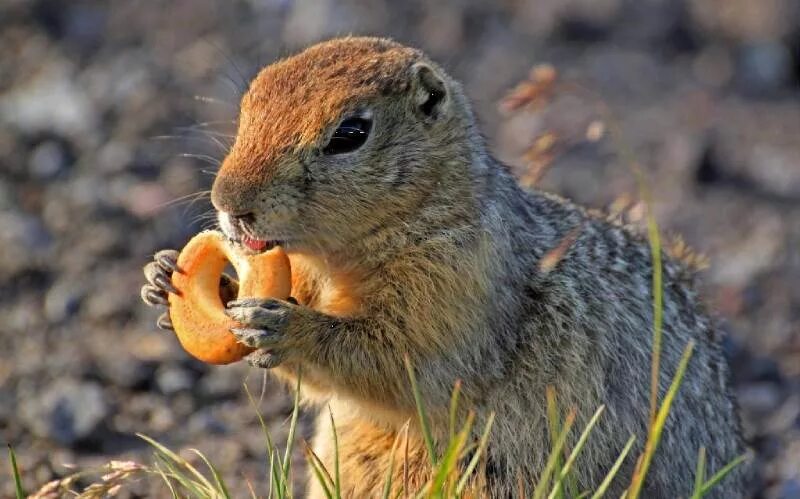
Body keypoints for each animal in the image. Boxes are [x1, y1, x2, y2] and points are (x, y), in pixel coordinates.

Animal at [141, 37, 748, 498]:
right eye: (249, 103)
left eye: (350, 134)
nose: (228, 201)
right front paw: (165, 276)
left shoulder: (457, 282)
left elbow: (402, 360)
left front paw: (284, 326)